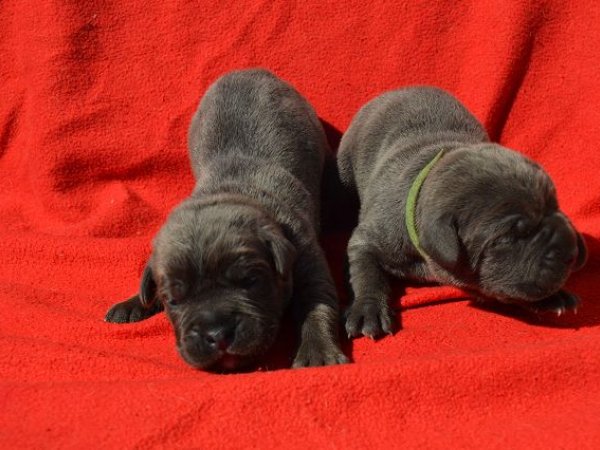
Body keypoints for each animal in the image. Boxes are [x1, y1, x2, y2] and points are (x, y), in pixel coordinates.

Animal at [105, 69, 348, 371]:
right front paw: (134, 302)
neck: (232, 190)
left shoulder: (306, 253)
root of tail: (250, 70)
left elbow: (318, 303)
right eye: (174, 300)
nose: (217, 333)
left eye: (251, 281)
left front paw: (318, 352)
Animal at [337, 86, 588, 339]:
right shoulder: (370, 238)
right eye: (506, 238)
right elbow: (366, 272)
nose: (572, 251)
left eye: (555, 206)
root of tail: (400, 89)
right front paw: (368, 309)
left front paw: (554, 297)